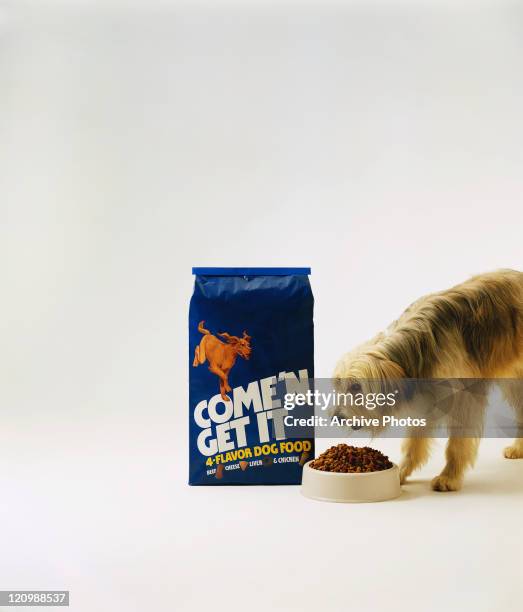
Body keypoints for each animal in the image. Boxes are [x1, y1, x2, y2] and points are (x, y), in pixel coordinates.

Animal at [336, 270, 523, 490]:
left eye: (356, 386)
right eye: (339, 386)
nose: (337, 417)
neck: (416, 349)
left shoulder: (463, 399)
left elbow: (456, 443)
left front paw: (449, 477)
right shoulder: (425, 400)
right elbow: (414, 442)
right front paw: (401, 471)